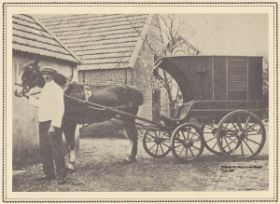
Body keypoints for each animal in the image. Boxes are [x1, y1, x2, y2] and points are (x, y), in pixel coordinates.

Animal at [13, 60, 143, 166]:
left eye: (29, 72)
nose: (16, 91)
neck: (65, 92)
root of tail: (136, 90)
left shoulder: (69, 122)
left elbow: (70, 142)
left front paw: (71, 163)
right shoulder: (68, 123)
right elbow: (68, 142)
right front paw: (71, 161)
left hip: (128, 118)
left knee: (133, 136)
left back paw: (130, 158)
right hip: (126, 118)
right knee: (132, 136)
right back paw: (130, 158)